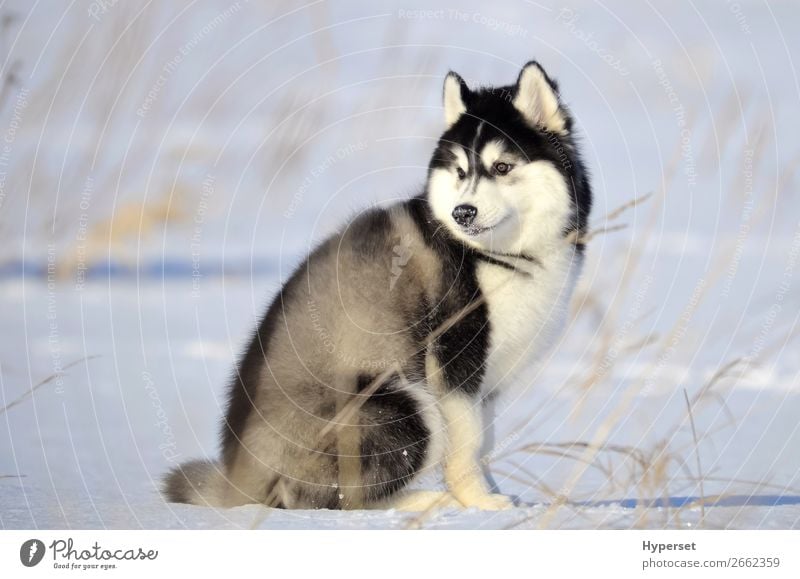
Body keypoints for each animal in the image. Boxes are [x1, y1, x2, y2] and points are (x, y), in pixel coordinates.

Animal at [167, 59, 592, 512]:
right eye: (460, 172)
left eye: (502, 167)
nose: (462, 212)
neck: (497, 254)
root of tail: (236, 478)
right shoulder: (454, 360)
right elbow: (469, 443)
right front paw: (480, 503)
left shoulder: (488, 380)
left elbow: (485, 442)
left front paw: (492, 496)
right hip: (402, 402)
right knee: (333, 501)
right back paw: (423, 502)